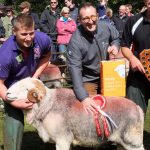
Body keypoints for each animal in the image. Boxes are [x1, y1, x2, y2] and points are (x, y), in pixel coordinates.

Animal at [5, 77, 144, 150]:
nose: (7, 93)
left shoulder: (62, 139)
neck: (48, 104)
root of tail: (138, 108)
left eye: (26, 89)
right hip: (122, 142)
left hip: (132, 141)